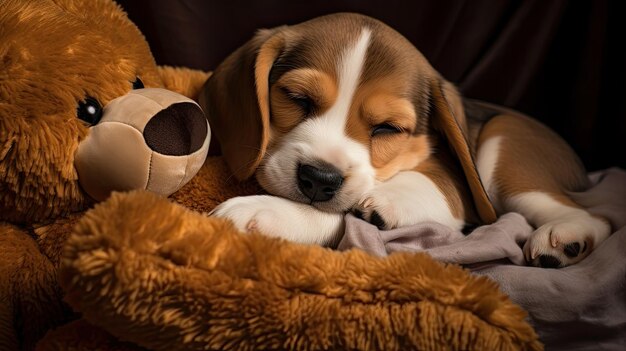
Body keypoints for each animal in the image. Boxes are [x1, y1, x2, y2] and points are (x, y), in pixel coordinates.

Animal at [197, 12, 608, 268]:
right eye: (298, 99)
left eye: (387, 128)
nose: (319, 179)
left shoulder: (457, 189)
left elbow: (356, 211)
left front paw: (268, 212)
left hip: (503, 151)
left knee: (597, 216)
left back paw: (565, 238)